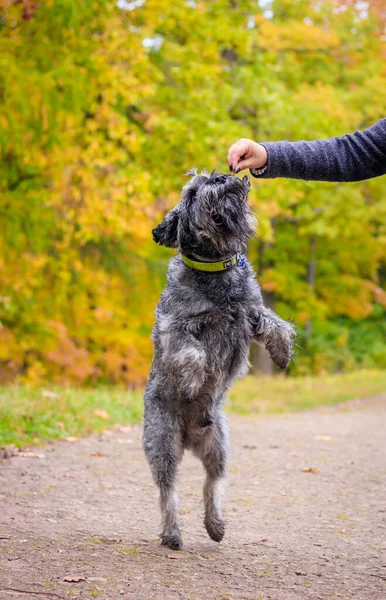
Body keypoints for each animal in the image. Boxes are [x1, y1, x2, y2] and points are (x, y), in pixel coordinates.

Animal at [142, 168, 296, 548]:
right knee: (168, 492)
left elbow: (278, 325)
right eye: (192, 193)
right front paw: (194, 380)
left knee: (211, 484)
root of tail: (189, 437)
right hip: (162, 444)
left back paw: (215, 524)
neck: (214, 269)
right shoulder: (174, 327)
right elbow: (193, 353)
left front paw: (283, 352)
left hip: (218, 448)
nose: (218, 178)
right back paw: (172, 533)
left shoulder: (251, 314)